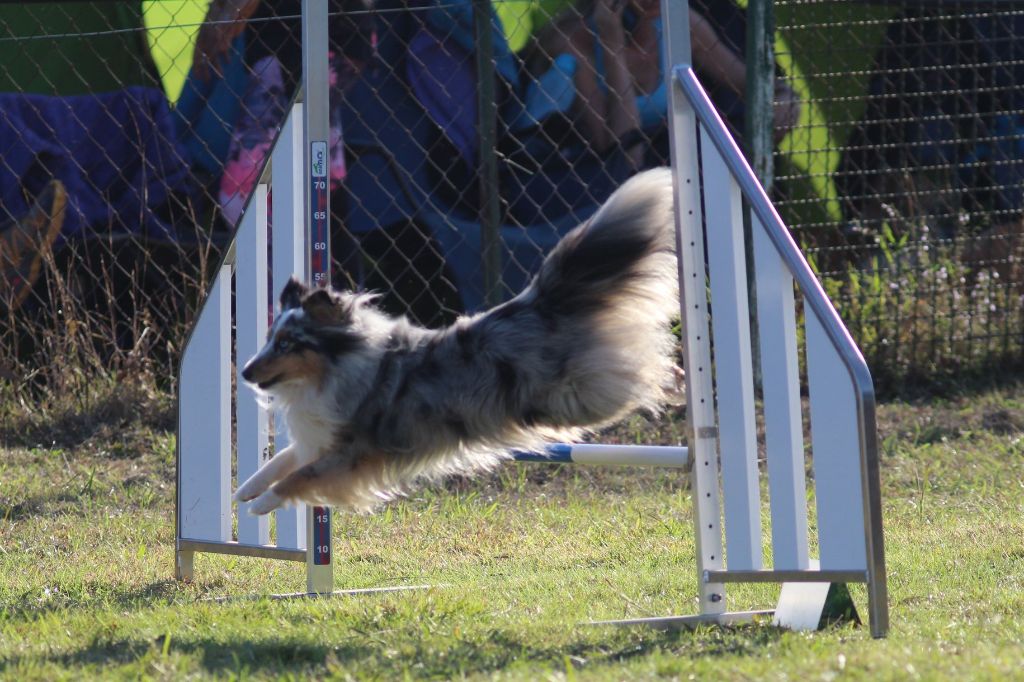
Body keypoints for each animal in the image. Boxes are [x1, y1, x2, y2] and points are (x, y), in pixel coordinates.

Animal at [234, 166, 679, 512]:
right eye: (270, 338)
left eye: (288, 344)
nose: (245, 373)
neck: (337, 368)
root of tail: (538, 300)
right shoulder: (323, 436)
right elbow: (283, 460)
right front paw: (244, 490)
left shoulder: (355, 451)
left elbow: (301, 475)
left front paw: (263, 503)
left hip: (572, 395)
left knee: (631, 376)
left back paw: (668, 383)